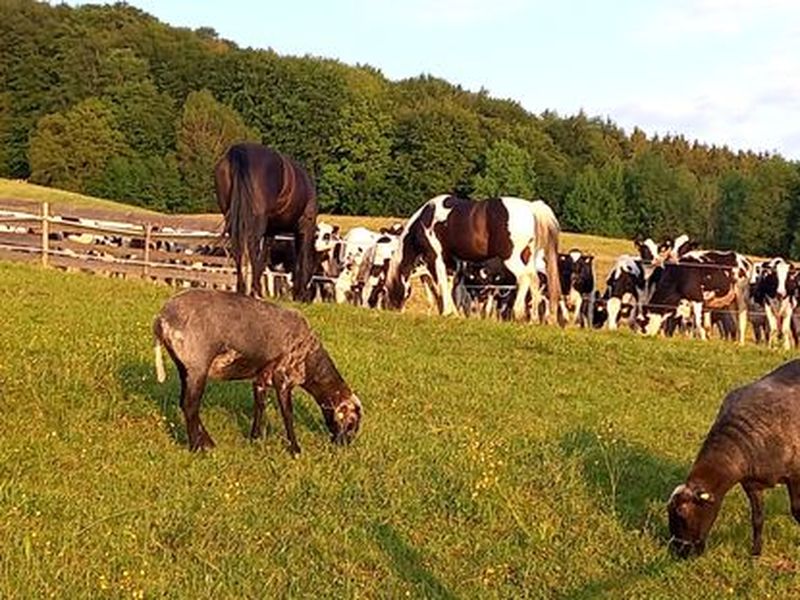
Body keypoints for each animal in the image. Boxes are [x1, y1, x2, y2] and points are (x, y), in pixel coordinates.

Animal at [152, 288, 362, 452]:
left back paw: (207, 442)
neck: (311, 361)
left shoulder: (261, 379)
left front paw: (255, 438)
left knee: (184, 403)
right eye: (351, 423)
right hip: (198, 367)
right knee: (190, 406)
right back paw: (197, 447)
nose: (344, 446)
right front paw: (295, 449)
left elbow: (259, 406)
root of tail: (162, 318)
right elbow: (288, 413)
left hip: (184, 367)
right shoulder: (283, 377)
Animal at [214, 141, 318, 300]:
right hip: (257, 222)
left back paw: (242, 288)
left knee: (238, 249)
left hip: (232, 220)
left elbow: (263, 258)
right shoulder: (305, 227)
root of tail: (239, 151)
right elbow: (303, 258)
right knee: (251, 247)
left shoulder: (271, 231)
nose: (308, 297)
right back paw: (254, 289)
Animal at [384, 196, 560, 318]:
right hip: (527, 258)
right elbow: (448, 286)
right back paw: (533, 318)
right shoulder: (451, 264)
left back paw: (518, 312)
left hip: (512, 259)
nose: (393, 309)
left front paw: (447, 312)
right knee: (534, 281)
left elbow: (441, 284)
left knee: (524, 279)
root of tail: (531, 207)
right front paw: (452, 313)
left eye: (387, 289)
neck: (424, 221)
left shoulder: (435, 258)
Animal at [664, 356, 800, 556]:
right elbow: (757, 518)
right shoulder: (751, 484)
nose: (680, 551)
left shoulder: (795, 477)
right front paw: (755, 553)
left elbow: (797, 511)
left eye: (682, 514)